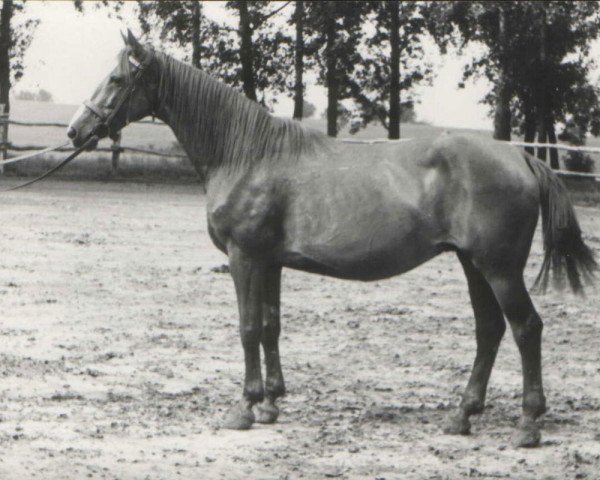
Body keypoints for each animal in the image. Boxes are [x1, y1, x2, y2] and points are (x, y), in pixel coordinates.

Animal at [67, 31, 596, 450]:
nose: (76, 130)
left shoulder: (245, 258)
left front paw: (244, 408)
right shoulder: (270, 262)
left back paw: (527, 425)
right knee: (489, 330)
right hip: (472, 264)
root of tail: (522, 156)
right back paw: (461, 415)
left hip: (498, 268)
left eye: (117, 80)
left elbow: (247, 328)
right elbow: (270, 326)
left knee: (526, 328)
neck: (246, 154)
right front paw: (270, 405)